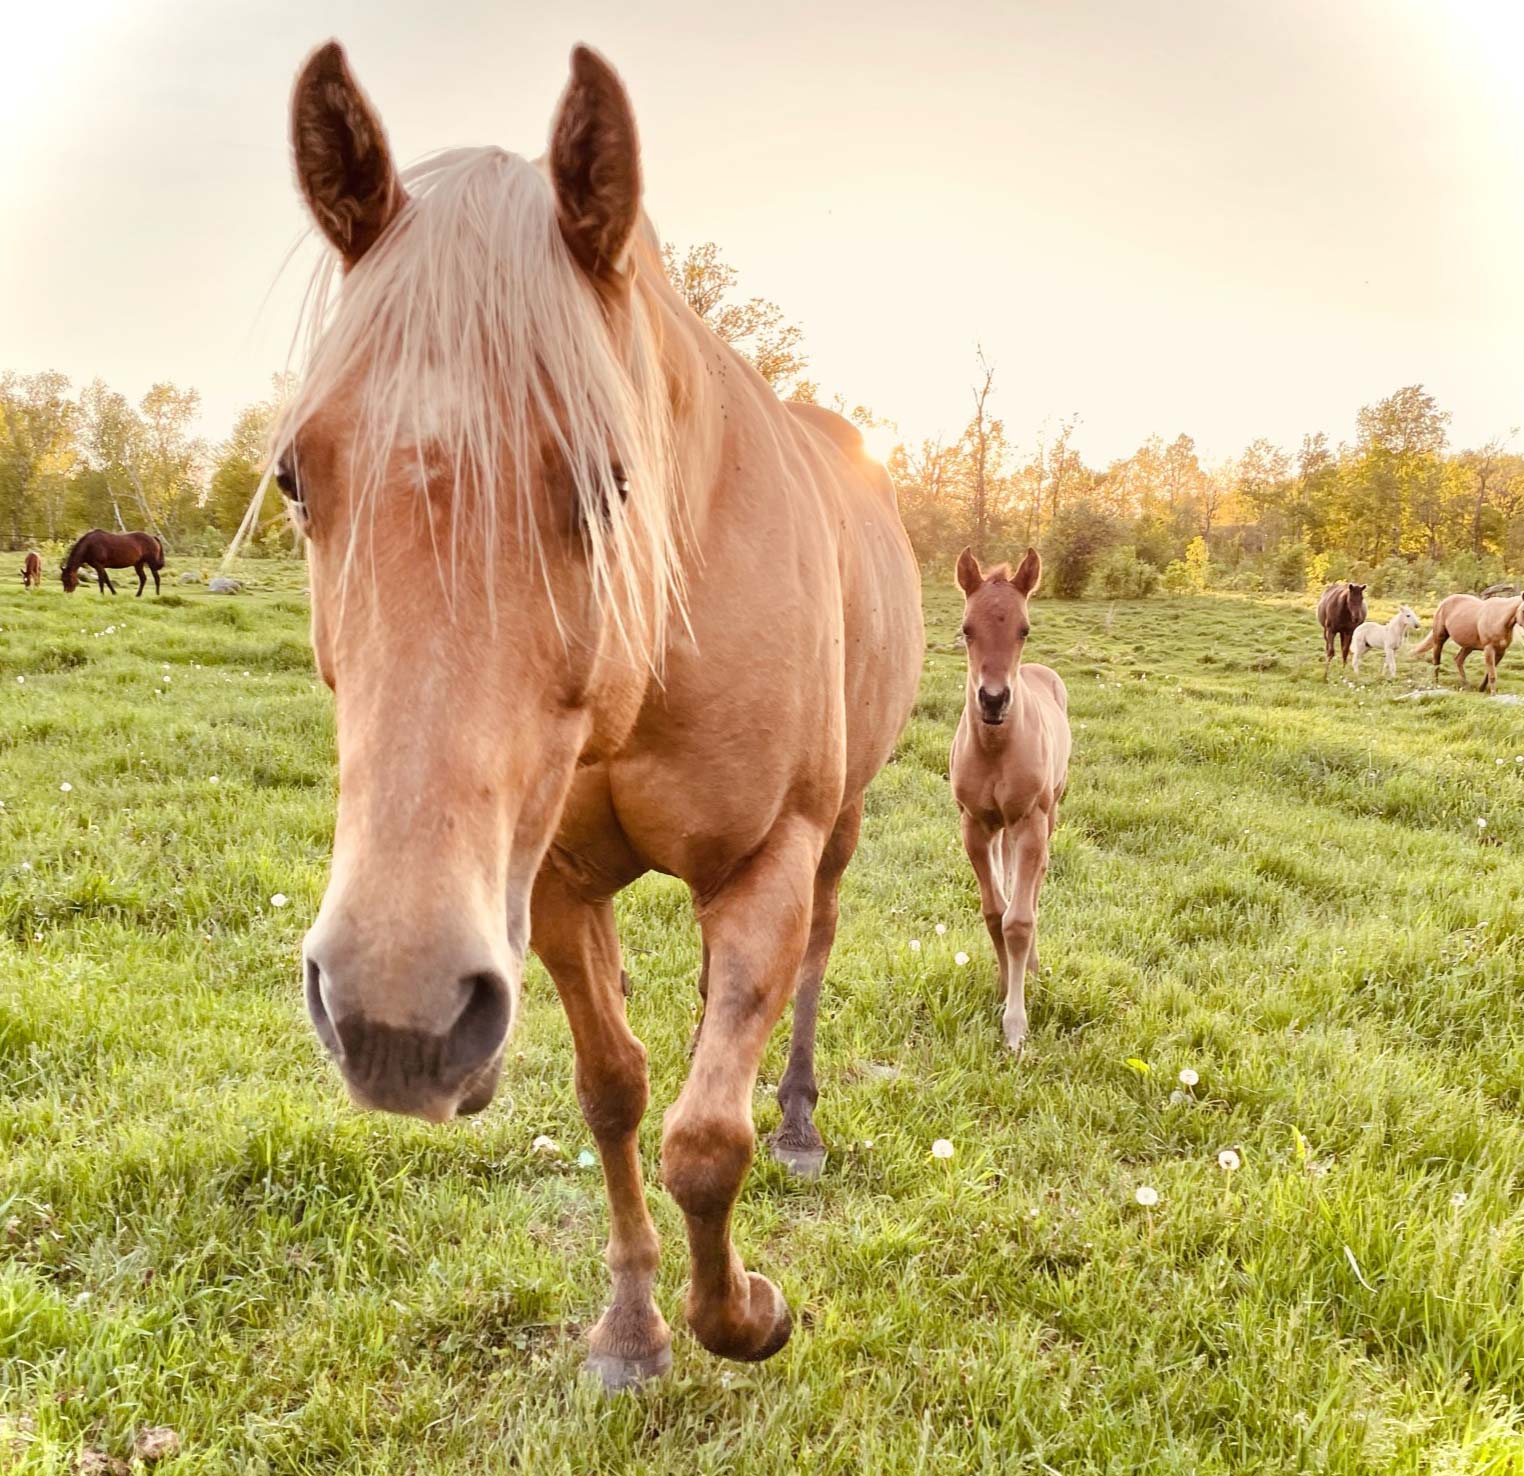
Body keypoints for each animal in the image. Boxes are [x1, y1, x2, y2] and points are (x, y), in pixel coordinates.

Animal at [273, 42, 923, 1387]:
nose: (394, 1018)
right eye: (296, 477)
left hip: (838, 832)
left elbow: (706, 1142)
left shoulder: (772, 858)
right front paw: (633, 1326)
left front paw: (748, 1312)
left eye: (607, 481)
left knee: (812, 969)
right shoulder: (561, 885)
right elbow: (617, 1091)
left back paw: (799, 1121)